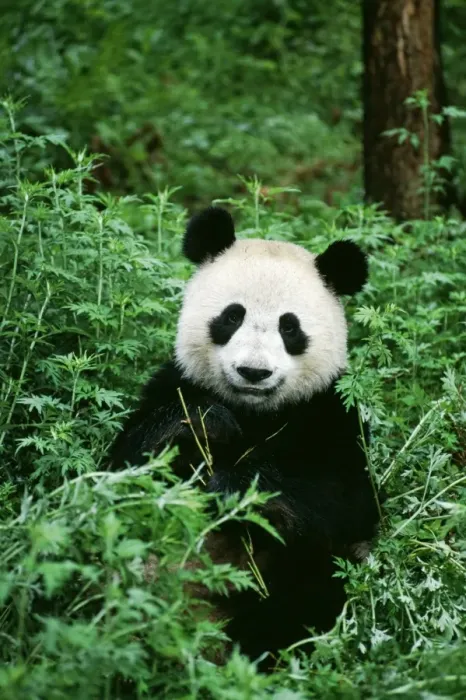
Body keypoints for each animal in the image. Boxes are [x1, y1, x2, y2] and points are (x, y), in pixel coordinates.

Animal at [109, 206, 381, 668]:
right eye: (232, 316)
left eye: (290, 328)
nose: (254, 372)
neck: (254, 412)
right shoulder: (173, 384)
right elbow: (123, 463)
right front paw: (205, 425)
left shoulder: (331, 412)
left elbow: (347, 497)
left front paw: (236, 488)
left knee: (309, 594)